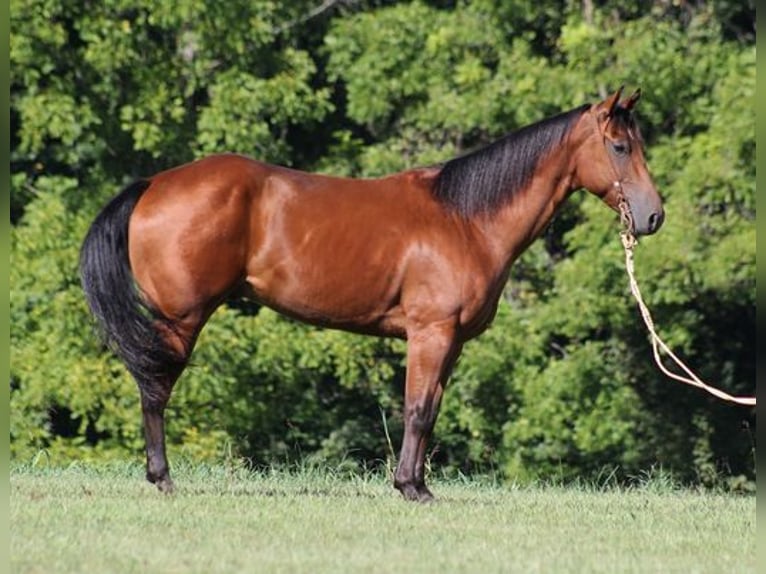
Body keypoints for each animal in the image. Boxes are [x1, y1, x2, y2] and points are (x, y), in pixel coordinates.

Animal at [80, 86, 664, 502]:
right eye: (619, 146)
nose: (653, 216)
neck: (466, 219)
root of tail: (154, 184)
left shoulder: (451, 342)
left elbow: (431, 409)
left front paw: (418, 482)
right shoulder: (430, 333)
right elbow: (418, 409)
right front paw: (410, 488)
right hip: (180, 319)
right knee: (155, 390)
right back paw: (162, 478)